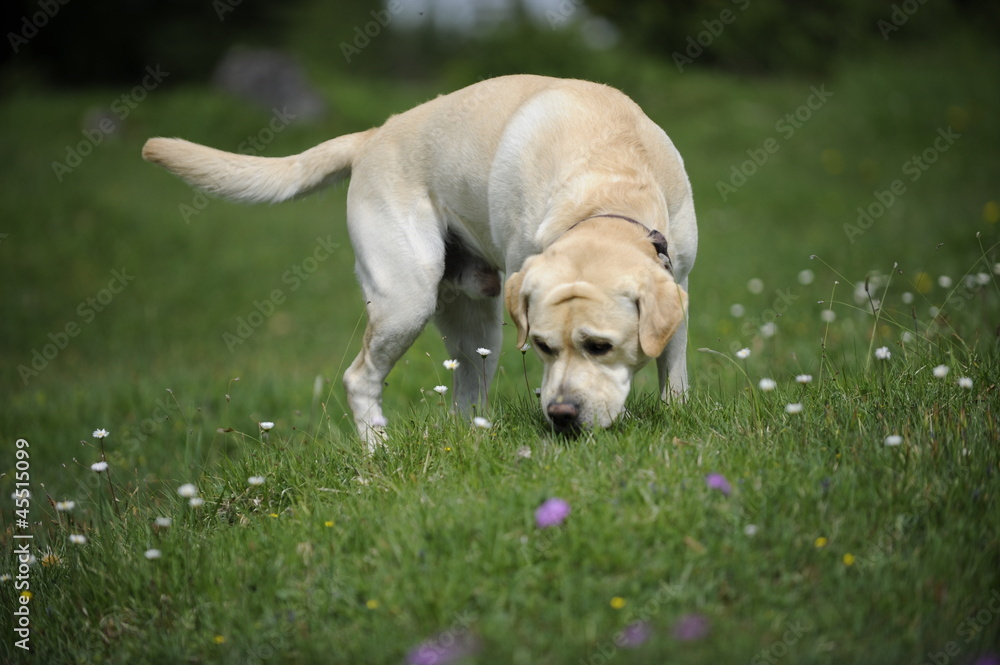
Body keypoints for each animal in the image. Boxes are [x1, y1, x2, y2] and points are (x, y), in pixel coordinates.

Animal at [145, 75, 700, 438]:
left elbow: (672, 368)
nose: (561, 416)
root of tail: (372, 136)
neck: (607, 184)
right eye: (542, 347)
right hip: (405, 300)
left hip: (477, 322)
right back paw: (378, 454)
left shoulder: (679, 282)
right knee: (360, 379)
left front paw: (676, 415)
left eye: (601, 346)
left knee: (465, 394)